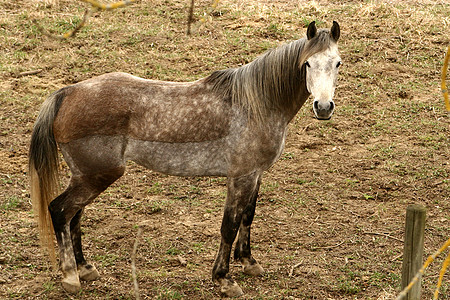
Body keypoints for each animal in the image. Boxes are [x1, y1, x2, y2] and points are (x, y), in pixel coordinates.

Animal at [29, 21, 342, 298]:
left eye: (337, 63)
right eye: (307, 64)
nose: (323, 107)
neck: (255, 105)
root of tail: (67, 93)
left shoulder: (255, 174)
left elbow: (248, 216)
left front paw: (248, 262)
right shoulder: (240, 177)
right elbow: (229, 225)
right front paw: (223, 279)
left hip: (87, 177)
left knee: (74, 216)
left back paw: (85, 268)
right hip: (96, 176)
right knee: (60, 211)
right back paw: (70, 276)